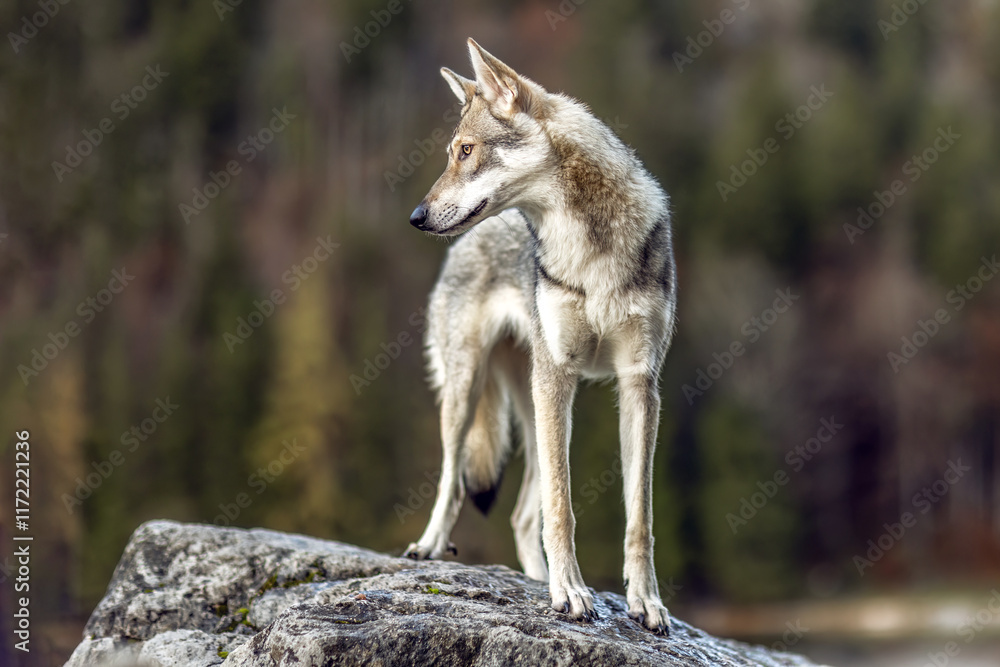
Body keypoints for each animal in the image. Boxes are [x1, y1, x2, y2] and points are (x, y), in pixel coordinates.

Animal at [404, 38, 677, 634]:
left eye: (465, 151)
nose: (416, 215)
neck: (589, 248)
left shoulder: (639, 384)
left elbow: (639, 516)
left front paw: (646, 602)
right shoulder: (559, 374)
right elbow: (563, 506)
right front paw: (570, 593)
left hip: (535, 407)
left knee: (522, 514)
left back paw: (534, 578)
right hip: (475, 393)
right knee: (454, 481)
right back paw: (431, 546)